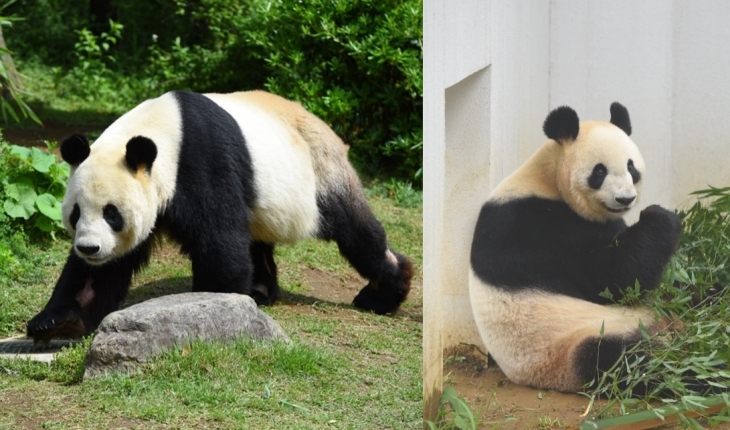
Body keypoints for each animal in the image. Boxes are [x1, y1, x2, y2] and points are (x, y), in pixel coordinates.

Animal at [25, 90, 412, 342]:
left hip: (320, 172)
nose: (89, 248)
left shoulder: (201, 161)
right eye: (76, 213)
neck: (164, 133)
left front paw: (214, 306)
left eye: (111, 213)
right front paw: (57, 322)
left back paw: (383, 293)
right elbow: (102, 272)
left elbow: (219, 242)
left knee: (355, 231)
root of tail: (325, 126)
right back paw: (260, 291)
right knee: (256, 240)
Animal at [466, 103, 684, 394]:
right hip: (575, 342)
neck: (547, 179)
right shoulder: (536, 227)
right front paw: (661, 217)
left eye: (631, 166)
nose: (625, 199)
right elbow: (613, 278)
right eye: (599, 172)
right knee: (628, 363)